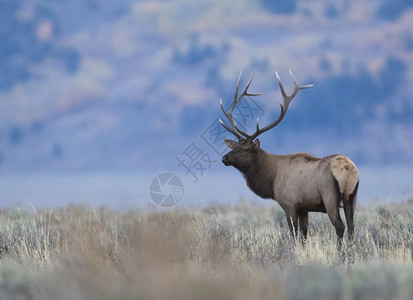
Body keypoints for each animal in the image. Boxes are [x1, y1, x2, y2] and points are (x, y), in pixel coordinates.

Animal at [219, 71, 358, 248]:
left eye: (246, 149)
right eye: (234, 146)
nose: (225, 158)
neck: (271, 178)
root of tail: (348, 169)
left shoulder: (290, 204)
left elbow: (295, 234)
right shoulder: (304, 208)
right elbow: (304, 235)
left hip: (330, 197)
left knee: (340, 226)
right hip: (351, 197)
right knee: (352, 227)